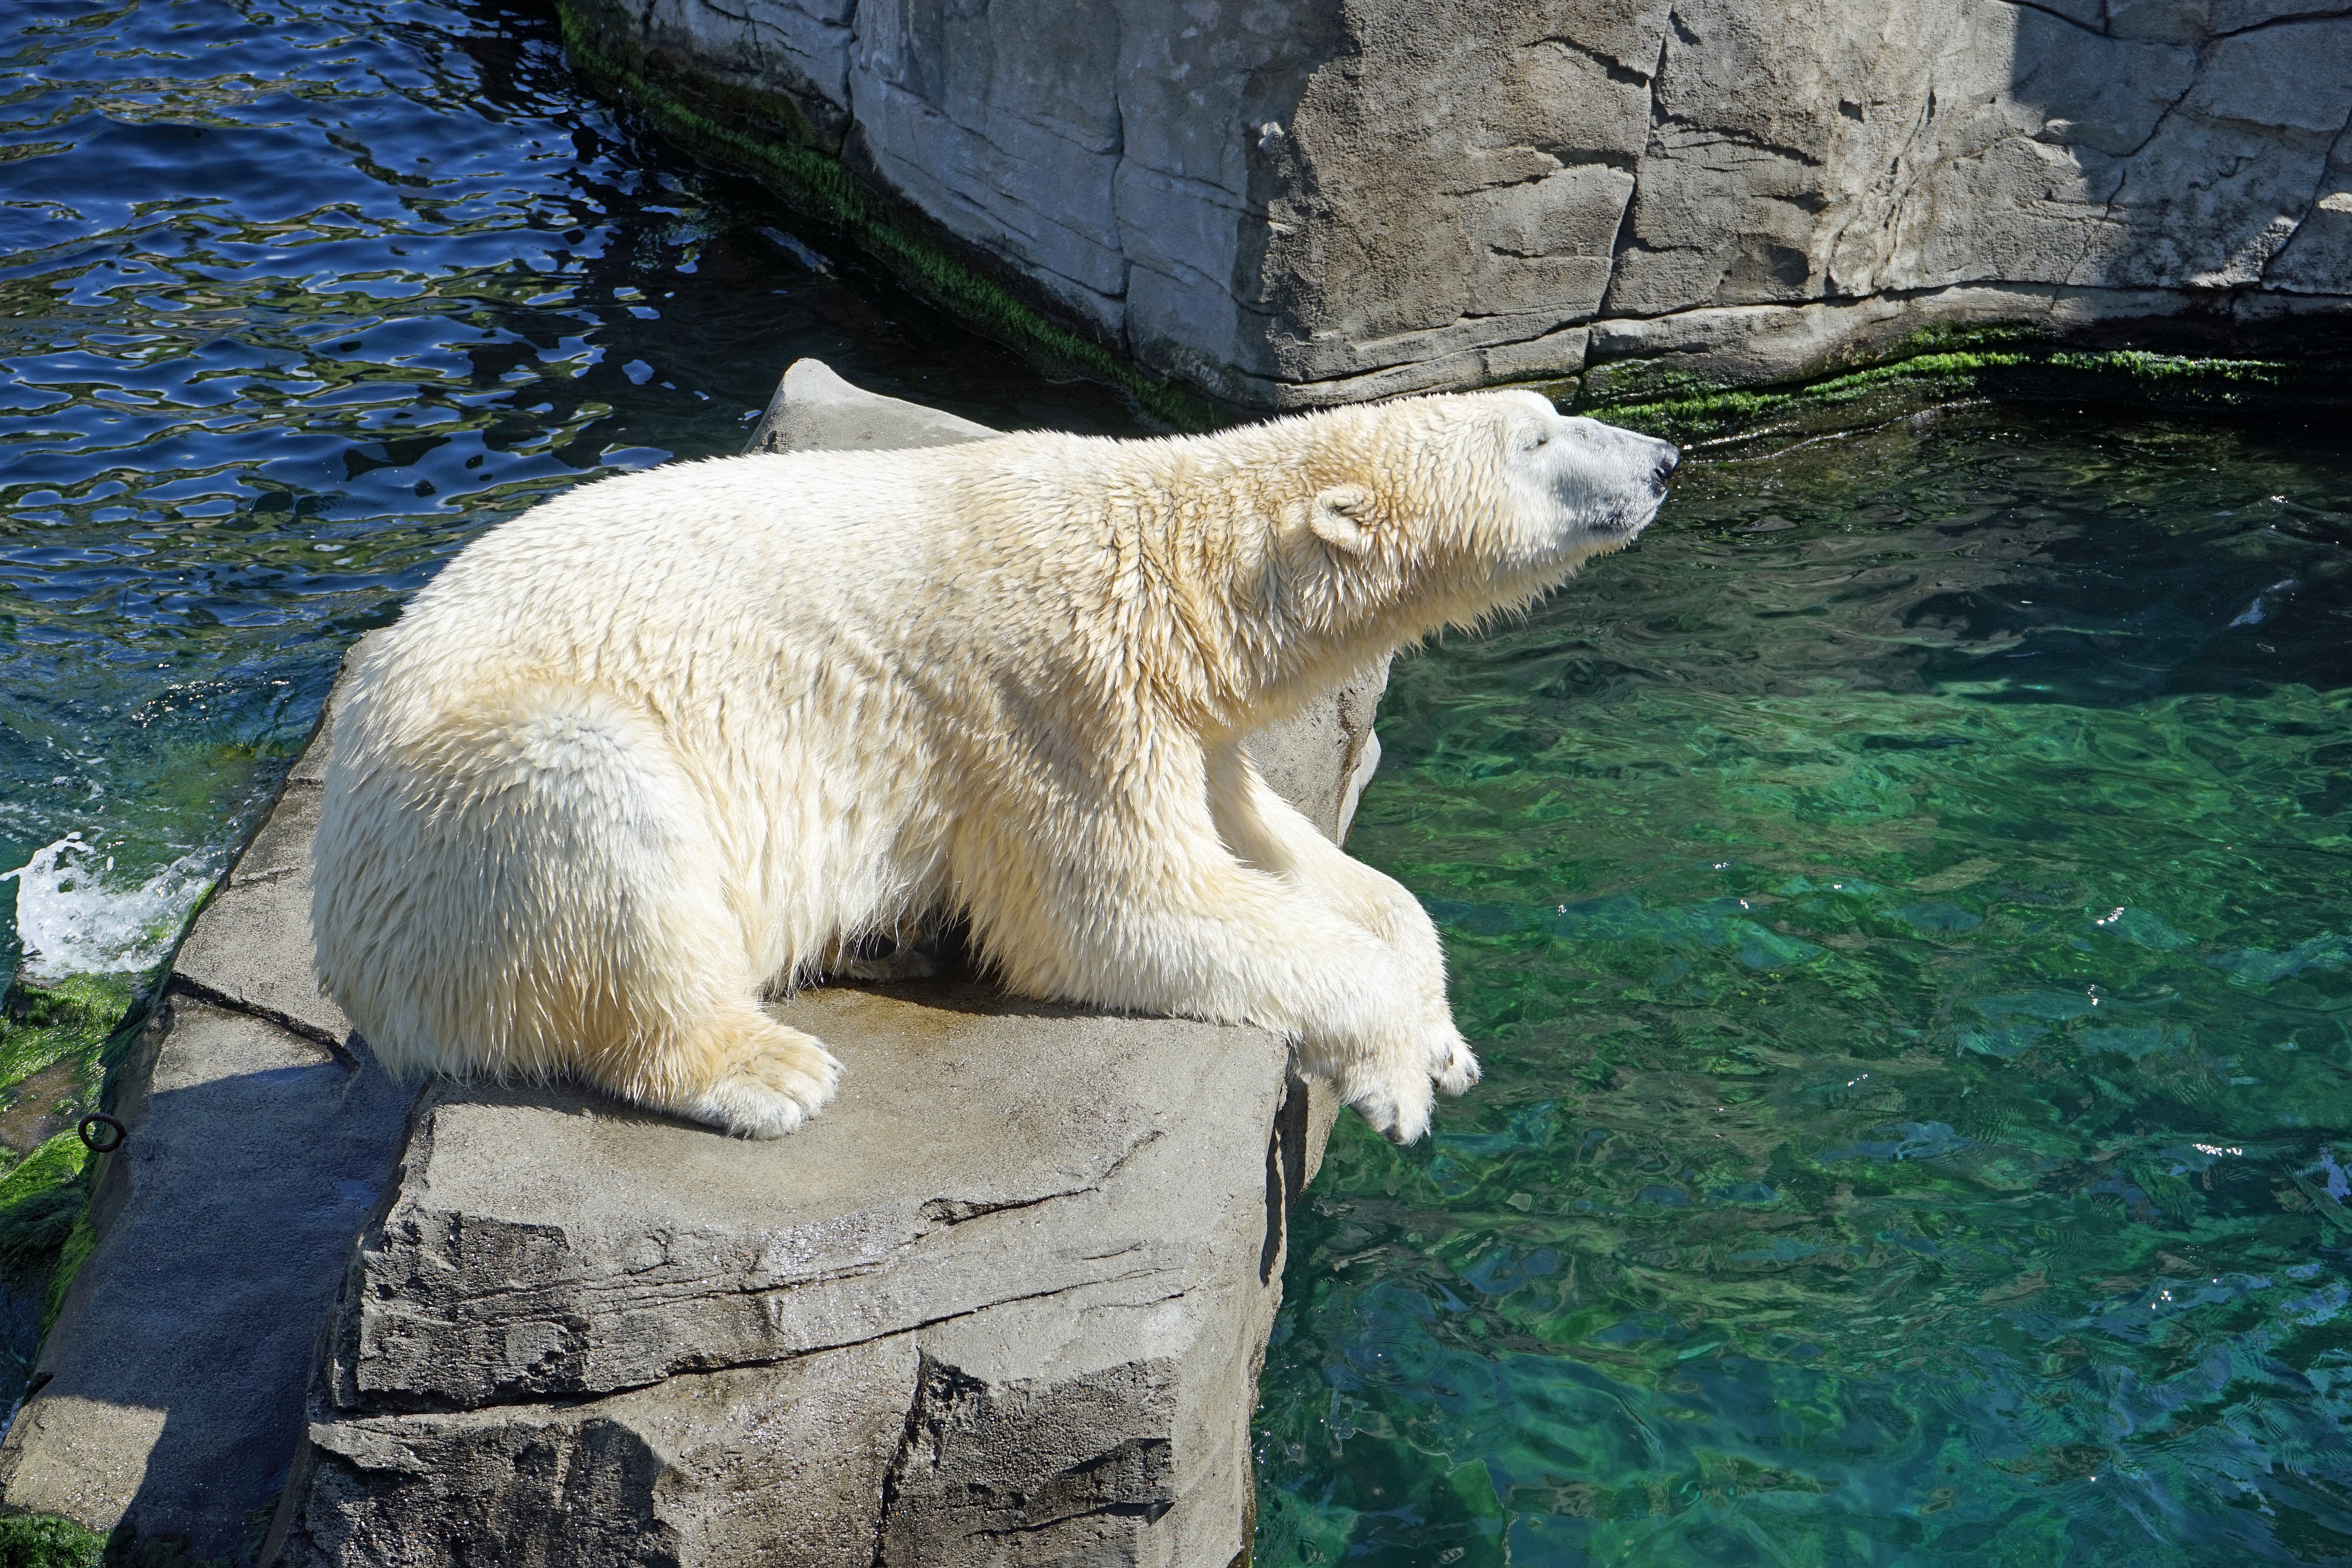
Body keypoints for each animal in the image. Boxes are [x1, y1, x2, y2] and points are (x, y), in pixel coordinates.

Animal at [308, 390, 1675, 1142]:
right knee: (599, 808)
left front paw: (1441, 1036)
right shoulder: (1053, 697)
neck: (1173, 565)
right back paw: (766, 1068)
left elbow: (1294, 859)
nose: (1665, 459)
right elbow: (1114, 910)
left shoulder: (1176, 720)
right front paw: (1394, 1073)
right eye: (1537, 435)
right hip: (461, 807)